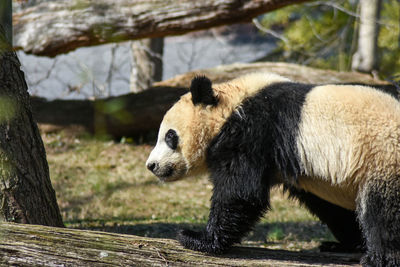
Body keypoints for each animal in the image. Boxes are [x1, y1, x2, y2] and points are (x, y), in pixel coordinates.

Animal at [146, 72, 400, 266]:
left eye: (169, 136)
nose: (152, 165)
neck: (233, 104)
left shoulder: (255, 131)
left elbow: (240, 192)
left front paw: (197, 238)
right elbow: (330, 206)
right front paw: (349, 242)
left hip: (383, 157)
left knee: (382, 211)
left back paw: (379, 258)